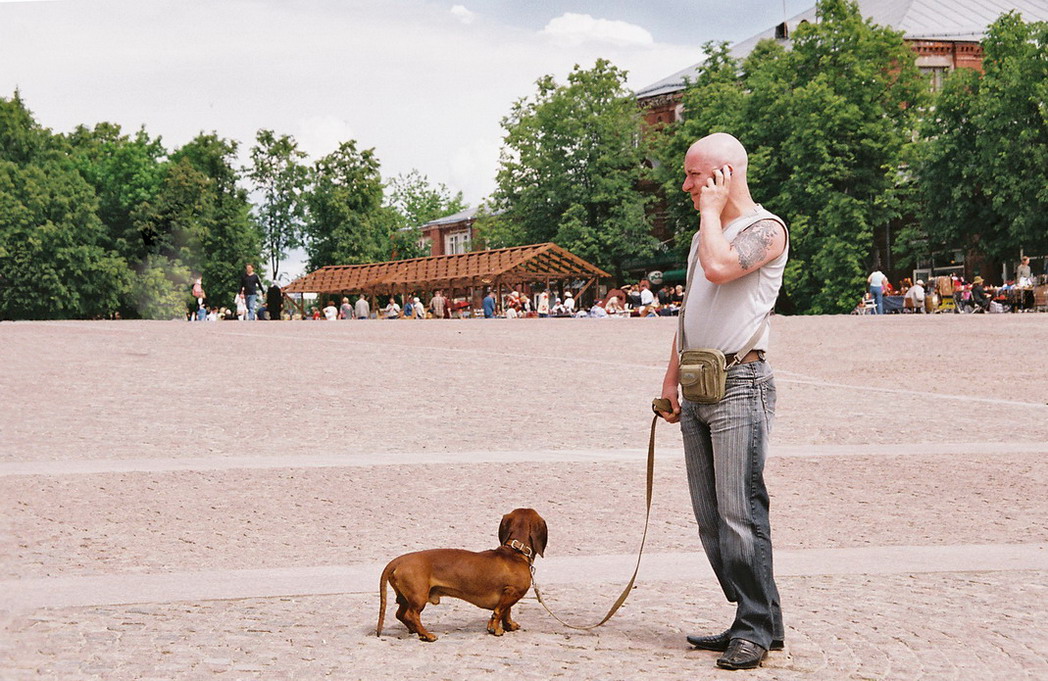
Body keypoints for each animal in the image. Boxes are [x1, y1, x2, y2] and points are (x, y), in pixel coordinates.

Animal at [377, 507, 549, 641]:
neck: (516, 551)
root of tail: (397, 561)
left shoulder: (508, 594)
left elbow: (507, 611)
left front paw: (509, 625)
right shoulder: (511, 593)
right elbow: (499, 612)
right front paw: (496, 629)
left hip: (405, 597)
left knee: (400, 614)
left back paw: (415, 630)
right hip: (418, 596)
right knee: (411, 615)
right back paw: (427, 635)